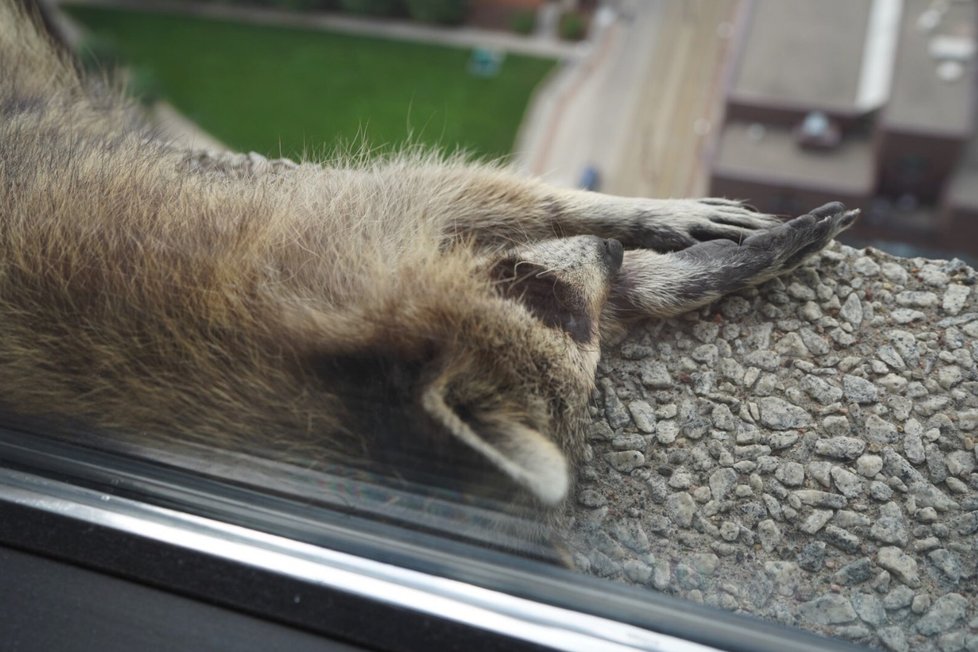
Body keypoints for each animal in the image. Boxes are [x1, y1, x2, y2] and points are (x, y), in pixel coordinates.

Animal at [0, 2, 856, 512]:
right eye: (561, 315)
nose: (611, 251)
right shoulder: (336, 238)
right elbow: (469, 189)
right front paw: (650, 239)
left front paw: (662, 251)